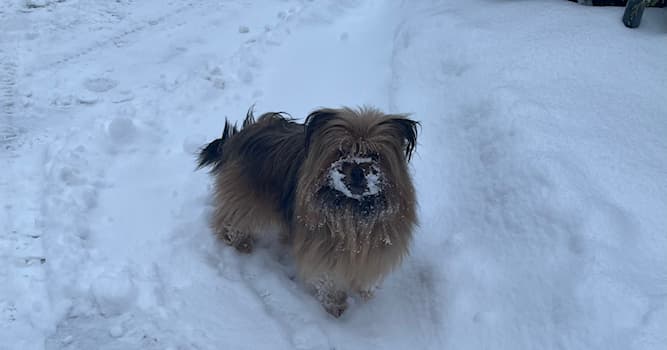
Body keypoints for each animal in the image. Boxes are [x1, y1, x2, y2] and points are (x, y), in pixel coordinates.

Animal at [196, 106, 420, 318]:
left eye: (375, 155)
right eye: (341, 151)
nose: (357, 170)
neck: (352, 207)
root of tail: (242, 133)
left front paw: (363, 295)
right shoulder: (323, 251)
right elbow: (329, 280)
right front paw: (335, 307)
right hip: (245, 198)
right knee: (232, 221)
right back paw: (241, 244)